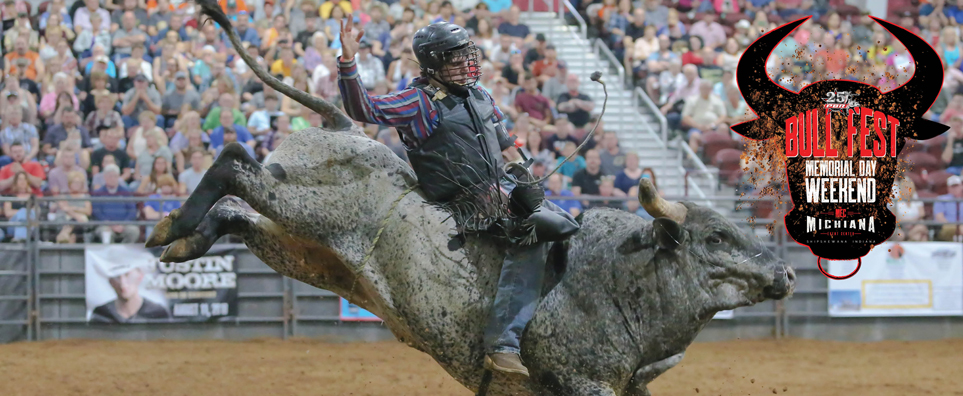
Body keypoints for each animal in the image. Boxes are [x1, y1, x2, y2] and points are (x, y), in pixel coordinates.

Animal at [147, 1, 800, 394]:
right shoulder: (584, 381)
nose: (788, 274)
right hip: (307, 207)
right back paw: (169, 225)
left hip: (309, 253)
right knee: (234, 162)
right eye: (715, 235)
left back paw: (183, 243)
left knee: (238, 214)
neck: (621, 276)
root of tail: (340, 124)